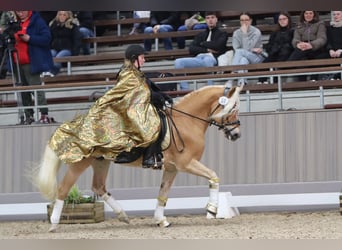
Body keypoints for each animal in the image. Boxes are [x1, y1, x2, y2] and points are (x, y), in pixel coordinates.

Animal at [30, 84, 242, 232]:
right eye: (233, 110)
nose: (236, 135)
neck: (187, 122)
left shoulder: (172, 168)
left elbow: (163, 193)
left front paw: (161, 220)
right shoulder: (186, 163)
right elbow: (214, 176)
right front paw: (212, 210)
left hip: (101, 162)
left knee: (98, 186)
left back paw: (123, 215)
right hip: (80, 163)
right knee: (63, 189)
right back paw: (54, 224)